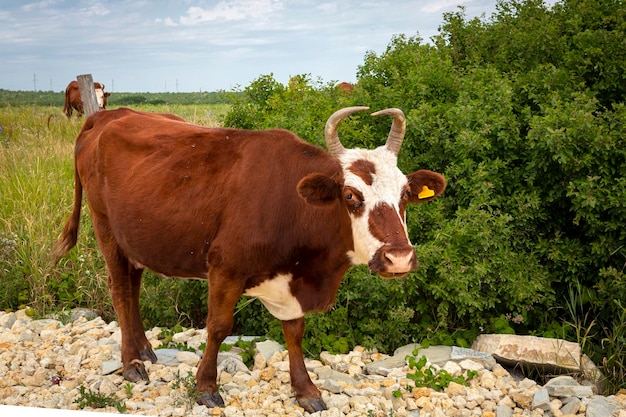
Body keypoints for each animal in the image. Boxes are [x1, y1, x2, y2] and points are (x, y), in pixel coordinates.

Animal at [52, 105, 444, 412]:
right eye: (350, 195)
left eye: (405, 193)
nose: (398, 257)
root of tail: (108, 115)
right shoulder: (225, 266)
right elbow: (218, 327)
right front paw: (206, 387)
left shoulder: (290, 280)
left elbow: (294, 331)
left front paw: (305, 390)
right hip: (106, 230)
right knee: (120, 291)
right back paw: (132, 363)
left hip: (135, 239)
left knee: (132, 288)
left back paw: (145, 349)